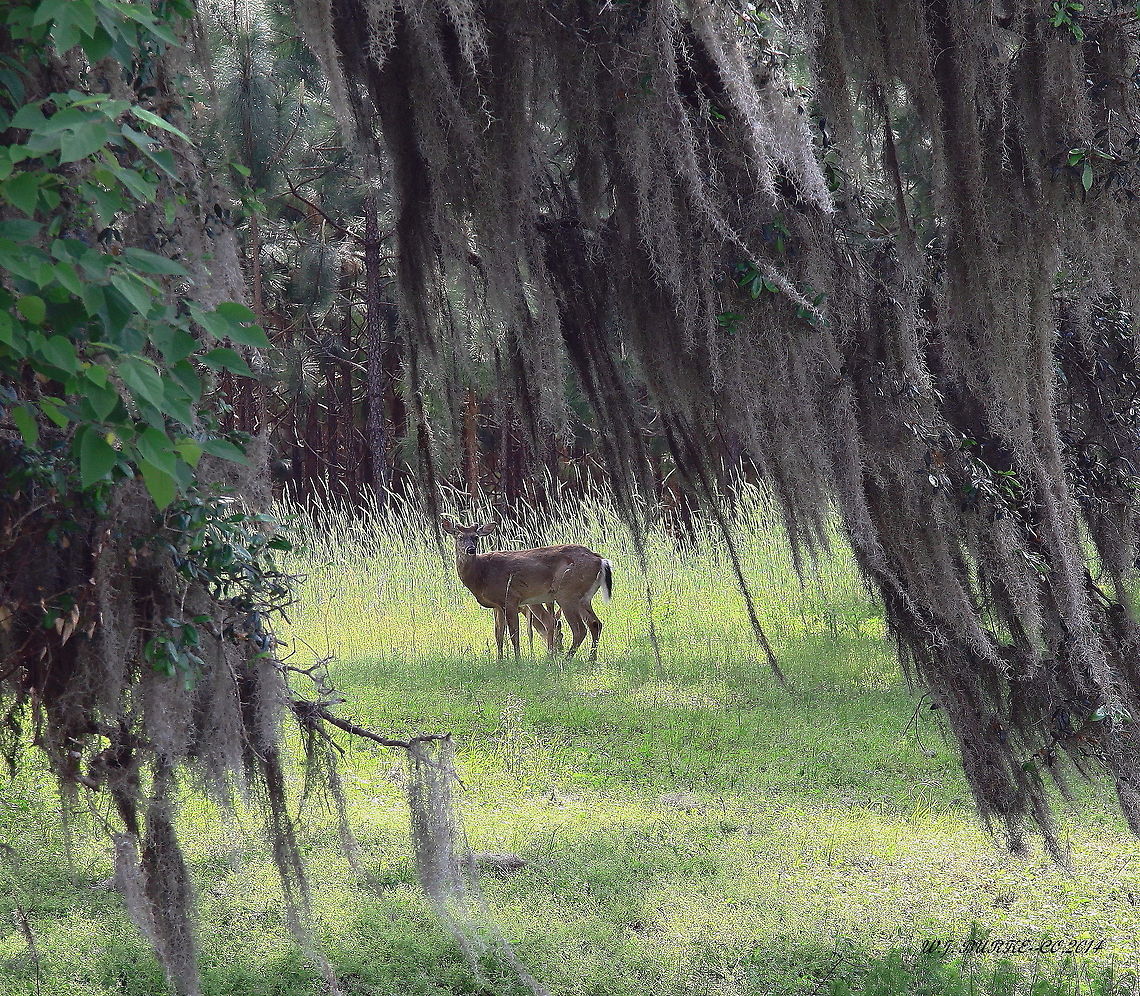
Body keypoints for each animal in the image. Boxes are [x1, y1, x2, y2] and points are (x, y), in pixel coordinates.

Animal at [440, 517, 612, 660]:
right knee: (595, 623)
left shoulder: (510, 598)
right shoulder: (497, 606)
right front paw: (499, 662)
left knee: (579, 628)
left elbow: (514, 634)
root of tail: (601, 560)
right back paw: (591, 659)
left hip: (567, 593)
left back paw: (567, 659)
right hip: (583, 597)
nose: (470, 549)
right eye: (459, 537)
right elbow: (498, 635)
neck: (482, 574)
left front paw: (518, 662)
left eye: (476, 537)